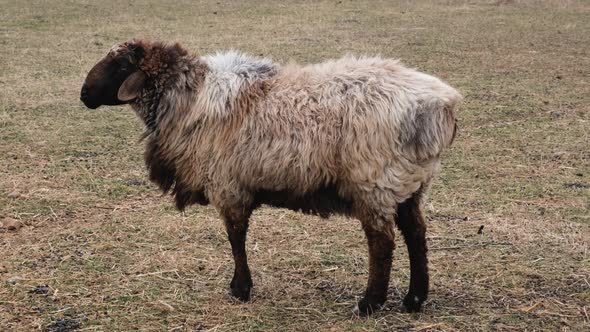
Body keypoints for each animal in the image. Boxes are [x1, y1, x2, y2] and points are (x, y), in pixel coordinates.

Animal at [81, 39, 464, 314]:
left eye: (120, 65)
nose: (84, 94)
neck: (189, 96)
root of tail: (442, 105)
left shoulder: (228, 185)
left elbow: (235, 238)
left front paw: (240, 289)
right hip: (410, 182)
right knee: (416, 233)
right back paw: (414, 300)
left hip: (375, 180)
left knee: (382, 243)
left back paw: (369, 303)